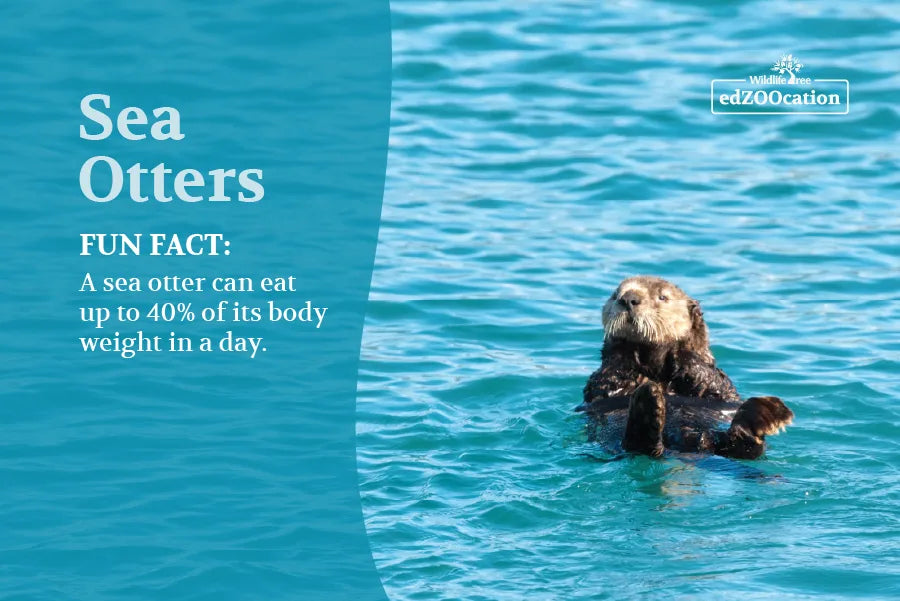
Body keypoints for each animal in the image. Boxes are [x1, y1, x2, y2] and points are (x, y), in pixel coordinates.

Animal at [579, 276, 793, 459]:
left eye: (663, 297)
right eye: (615, 295)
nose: (628, 299)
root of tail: (678, 448)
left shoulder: (720, 385)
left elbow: (712, 379)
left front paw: (679, 348)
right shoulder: (602, 381)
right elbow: (611, 376)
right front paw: (624, 348)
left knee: (742, 447)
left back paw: (764, 415)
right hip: (615, 439)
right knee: (636, 445)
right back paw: (649, 404)